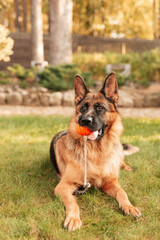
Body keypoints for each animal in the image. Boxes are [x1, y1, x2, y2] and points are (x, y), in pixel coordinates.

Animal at [50, 72, 141, 231]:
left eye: (100, 107)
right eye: (83, 108)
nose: (85, 121)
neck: (96, 152)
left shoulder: (111, 182)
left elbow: (122, 193)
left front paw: (129, 206)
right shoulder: (63, 186)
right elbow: (73, 203)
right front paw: (73, 218)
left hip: (118, 150)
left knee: (121, 159)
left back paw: (126, 167)